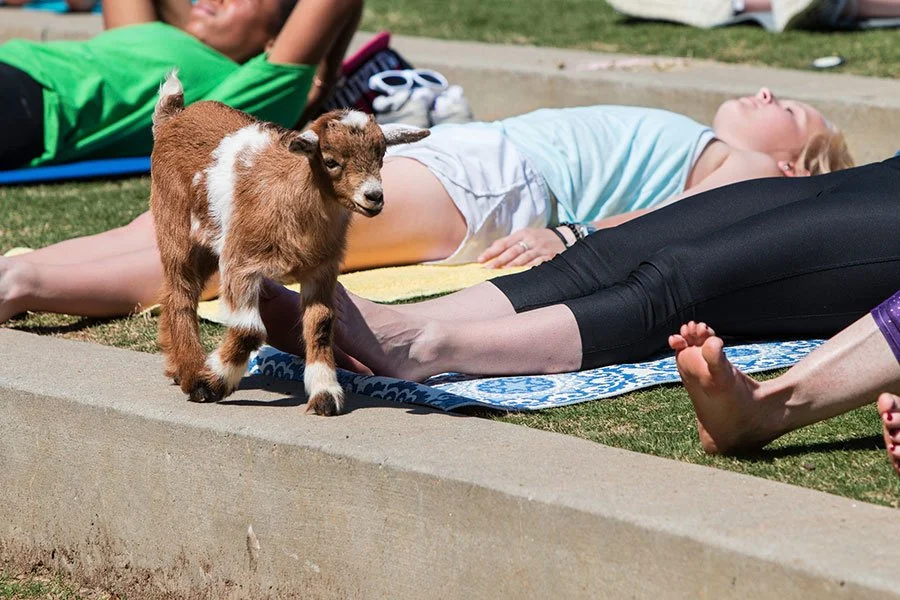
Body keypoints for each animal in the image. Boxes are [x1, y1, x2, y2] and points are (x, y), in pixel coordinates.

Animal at [149, 71, 428, 416]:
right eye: (330, 161)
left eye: (382, 155)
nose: (374, 196)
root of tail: (173, 116)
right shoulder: (241, 262)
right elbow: (249, 330)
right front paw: (212, 381)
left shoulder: (322, 271)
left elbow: (321, 325)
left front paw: (325, 394)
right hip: (176, 226)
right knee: (181, 293)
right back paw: (191, 374)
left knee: (171, 293)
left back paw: (177, 367)